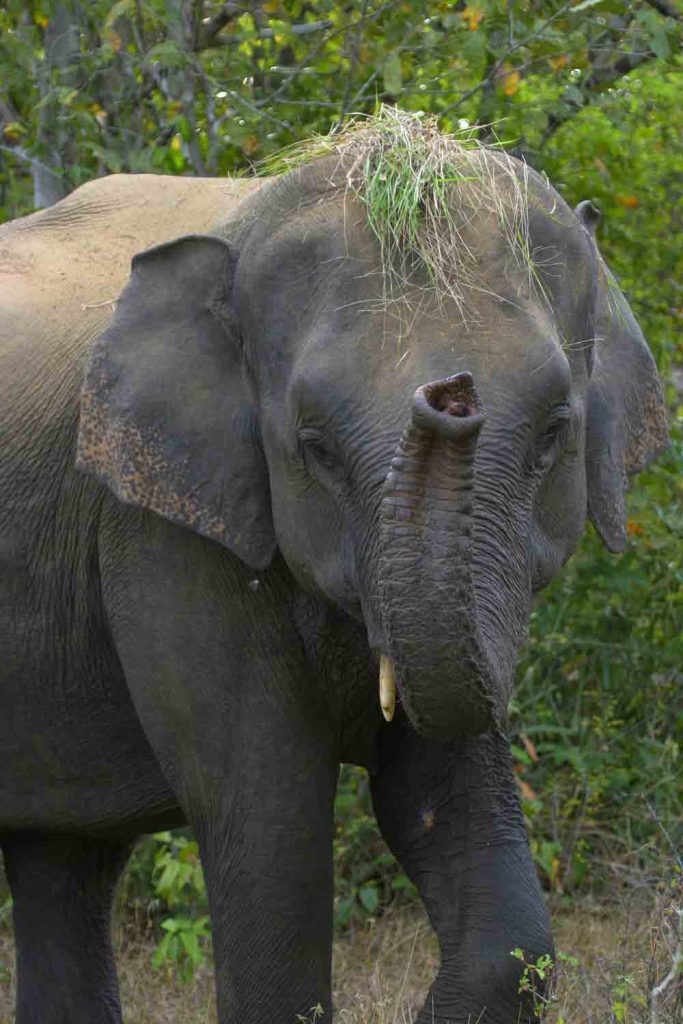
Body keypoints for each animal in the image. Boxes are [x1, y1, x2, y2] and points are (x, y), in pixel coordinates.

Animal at [0, 114, 667, 1024]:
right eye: (312, 445)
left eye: (554, 430)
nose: (449, 394)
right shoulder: (156, 532)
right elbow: (268, 818)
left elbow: (453, 821)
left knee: (61, 861)